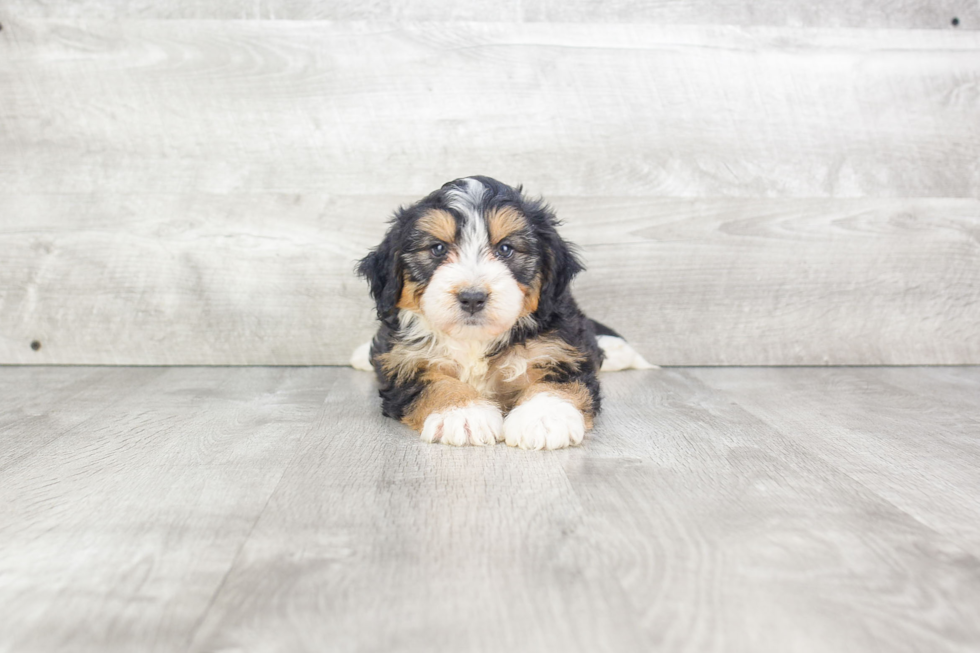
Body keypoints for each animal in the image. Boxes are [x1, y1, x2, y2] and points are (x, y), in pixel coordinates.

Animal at [352, 177, 652, 448]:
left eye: (505, 249)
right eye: (437, 248)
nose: (473, 298)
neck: (475, 340)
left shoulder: (562, 351)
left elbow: (558, 383)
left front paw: (543, 419)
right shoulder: (403, 365)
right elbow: (434, 383)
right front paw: (463, 414)